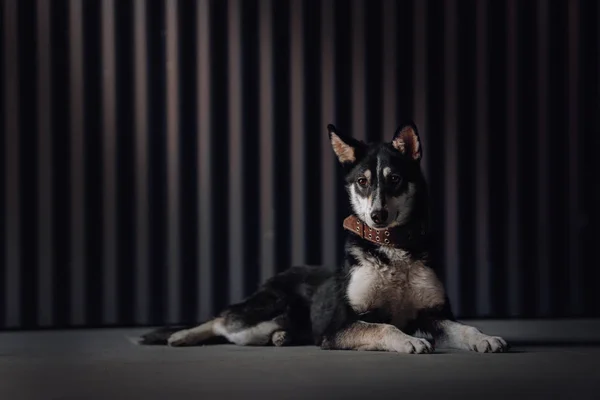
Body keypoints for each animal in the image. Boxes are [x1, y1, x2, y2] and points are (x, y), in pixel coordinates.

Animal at [139, 122, 506, 354]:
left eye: (396, 179)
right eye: (362, 182)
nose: (377, 216)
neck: (390, 247)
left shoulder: (434, 315)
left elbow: (464, 328)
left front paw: (485, 337)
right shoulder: (340, 326)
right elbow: (384, 328)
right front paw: (409, 341)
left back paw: (281, 338)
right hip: (266, 312)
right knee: (223, 320)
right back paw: (180, 336)